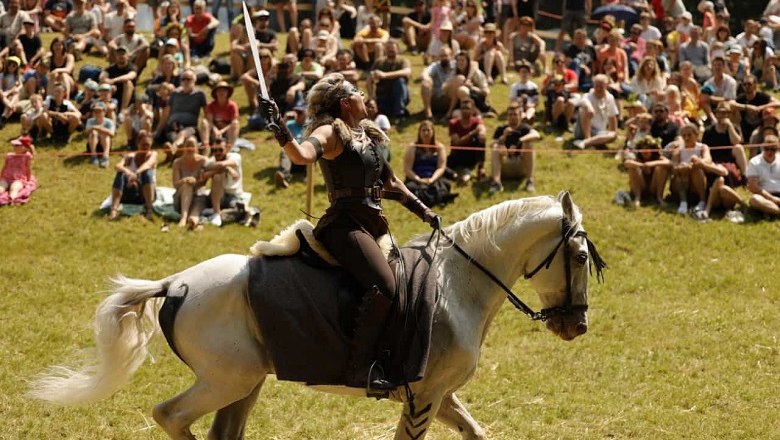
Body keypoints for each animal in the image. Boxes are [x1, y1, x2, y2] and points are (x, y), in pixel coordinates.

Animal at [29, 192, 604, 440]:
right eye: (578, 257)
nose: (577, 326)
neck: (456, 284)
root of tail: (177, 284)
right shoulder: (424, 396)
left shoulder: (438, 394)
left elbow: (475, 432)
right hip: (225, 380)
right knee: (170, 416)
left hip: (244, 382)